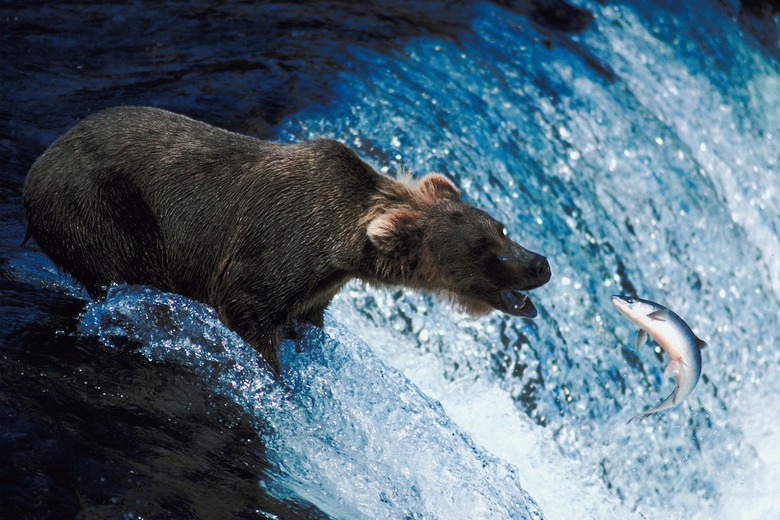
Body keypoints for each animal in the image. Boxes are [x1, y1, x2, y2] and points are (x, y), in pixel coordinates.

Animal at [22, 105, 548, 368]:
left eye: (502, 228)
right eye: (484, 250)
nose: (540, 263)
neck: (343, 247)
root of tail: (38, 163)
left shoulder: (318, 285)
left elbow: (307, 318)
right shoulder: (273, 252)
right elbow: (250, 312)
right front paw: (274, 373)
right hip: (102, 209)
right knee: (129, 270)